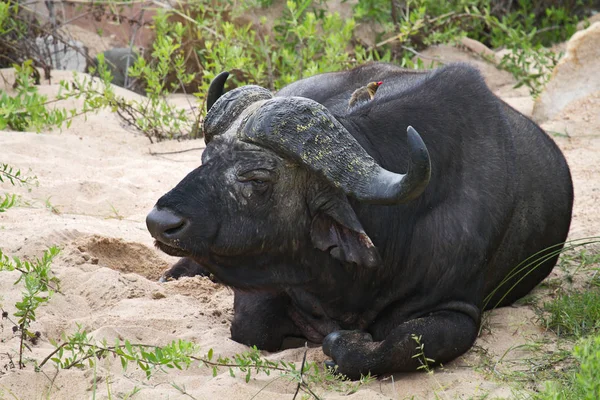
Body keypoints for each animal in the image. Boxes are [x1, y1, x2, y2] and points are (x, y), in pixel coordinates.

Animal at [145, 62, 572, 378]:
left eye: (257, 178)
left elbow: (393, 348)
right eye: (205, 159)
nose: (159, 221)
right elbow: (252, 327)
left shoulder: (459, 311)